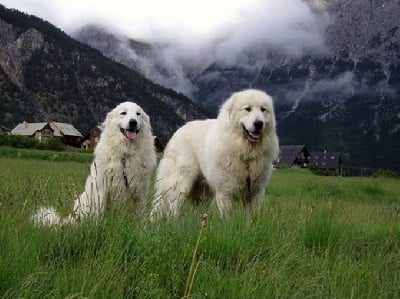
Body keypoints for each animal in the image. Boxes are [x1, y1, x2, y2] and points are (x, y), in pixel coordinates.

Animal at [152, 88, 280, 219]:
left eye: (263, 109)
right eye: (247, 109)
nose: (259, 123)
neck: (245, 153)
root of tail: (178, 131)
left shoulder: (255, 193)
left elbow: (251, 218)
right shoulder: (225, 192)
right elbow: (227, 218)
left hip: (203, 193)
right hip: (182, 181)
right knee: (174, 206)